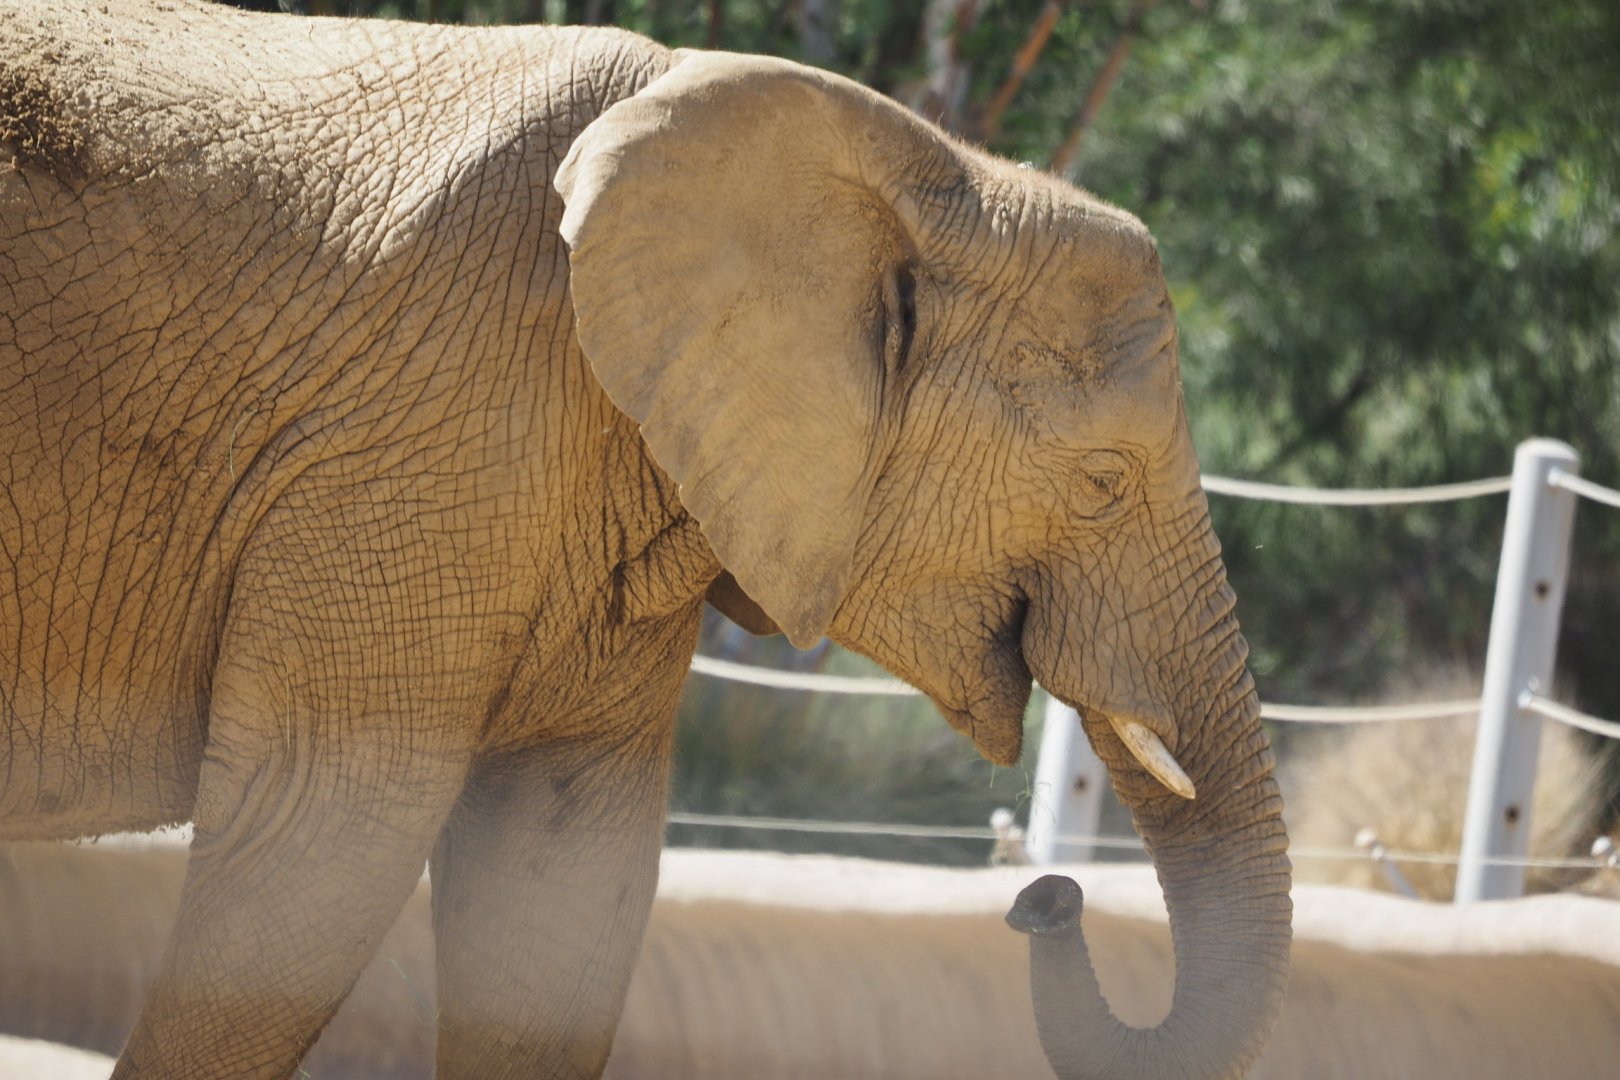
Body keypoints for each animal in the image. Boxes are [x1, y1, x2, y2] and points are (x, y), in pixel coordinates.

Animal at [0, 1, 1291, 1077]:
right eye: (1104, 482)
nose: (1046, 898)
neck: (926, 167)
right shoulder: (415, 437)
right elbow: (322, 834)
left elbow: (562, 881)